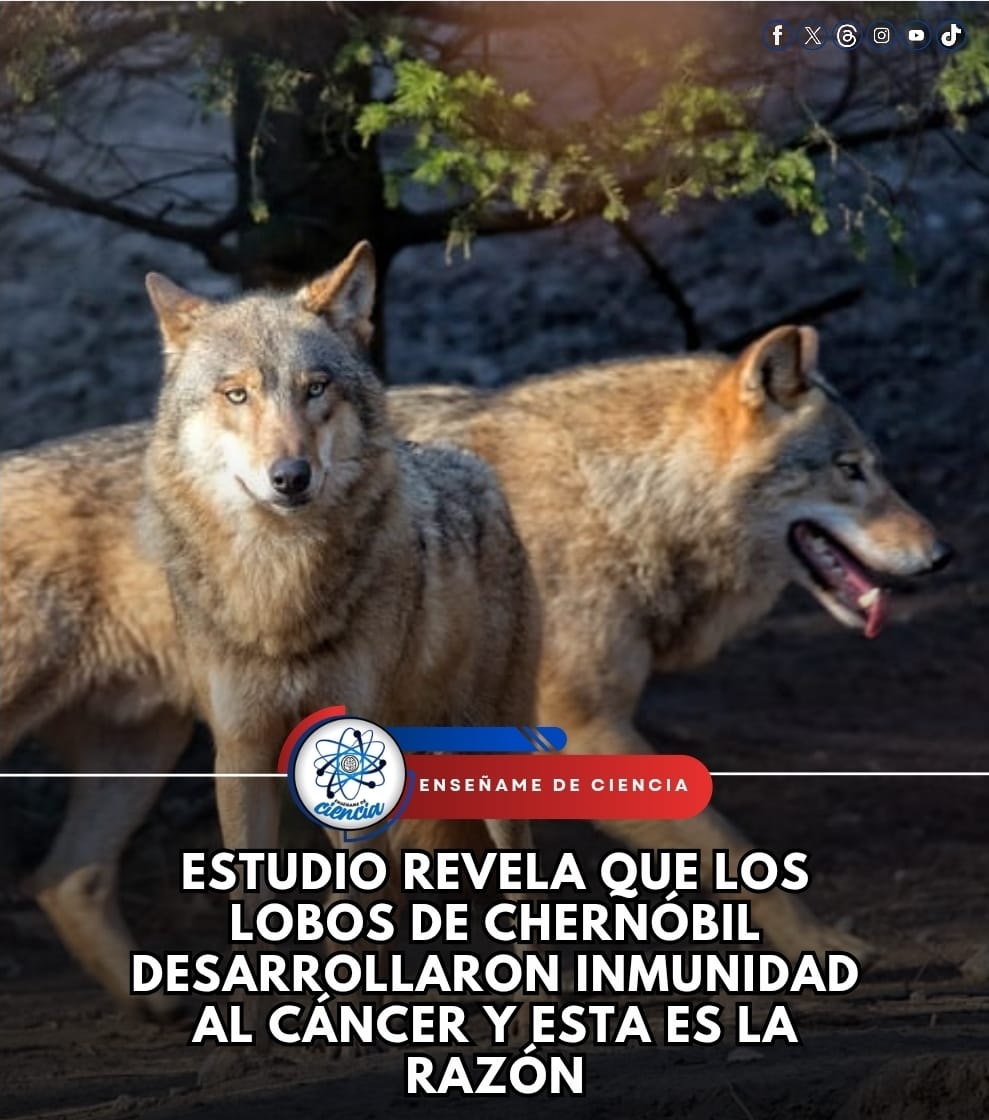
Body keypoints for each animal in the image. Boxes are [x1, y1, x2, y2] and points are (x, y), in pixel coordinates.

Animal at [0, 318, 950, 1019]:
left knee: (65, 878)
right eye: (852, 471)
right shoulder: (579, 735)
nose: (940, 557)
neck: (617, 496)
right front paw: (824, 949)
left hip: (146, 753)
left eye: (878, 471)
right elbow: (729, 848)